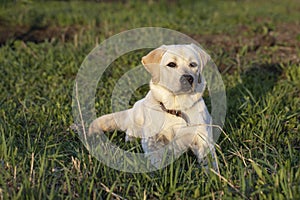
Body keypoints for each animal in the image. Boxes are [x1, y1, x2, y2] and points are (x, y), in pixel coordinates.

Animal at [88, 43, 217, 170]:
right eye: (171, 64)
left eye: (193, 64)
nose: (188, 78)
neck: (175, 108)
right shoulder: (152, 140)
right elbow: (156, 159)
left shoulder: (203, 140)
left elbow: (211, 162)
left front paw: (213, 173)